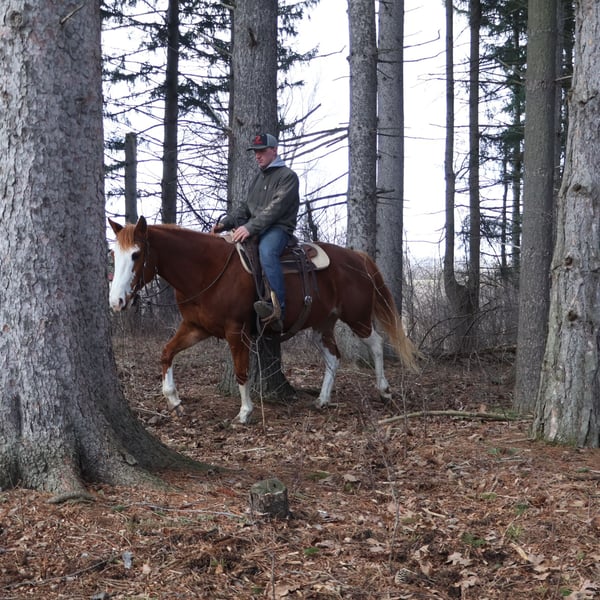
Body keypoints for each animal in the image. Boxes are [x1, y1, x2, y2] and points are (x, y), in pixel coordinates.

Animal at [108, 216, 418, 423]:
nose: (116, 301)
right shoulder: (195, 327)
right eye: (115, 254)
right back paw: (322, 399)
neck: (207, 270)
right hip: (322, 323)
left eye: (136, 254)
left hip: (357, 317)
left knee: (376, 344)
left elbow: (241, 370)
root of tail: (357, 257)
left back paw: (384, 391)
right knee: (333, 356)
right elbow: (166, 353)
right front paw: (173, 400)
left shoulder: (236, 331)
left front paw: (245, 412)